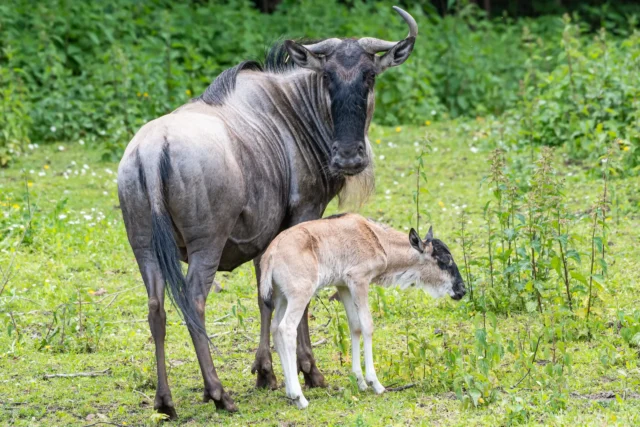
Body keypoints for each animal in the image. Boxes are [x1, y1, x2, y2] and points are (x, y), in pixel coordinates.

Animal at [258, 213, 464, 408]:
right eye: (444, 261)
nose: (461, 290)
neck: (376, 239)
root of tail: (271, 252)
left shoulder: (343, 286)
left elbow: (355, 326)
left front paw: (360, 381)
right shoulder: (359, 280)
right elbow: (367, 325)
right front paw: (375, 383)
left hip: (281, 297)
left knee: (275, 328)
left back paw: (289, 393)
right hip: (300, 295)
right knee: (286, 328)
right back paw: (299, 397)